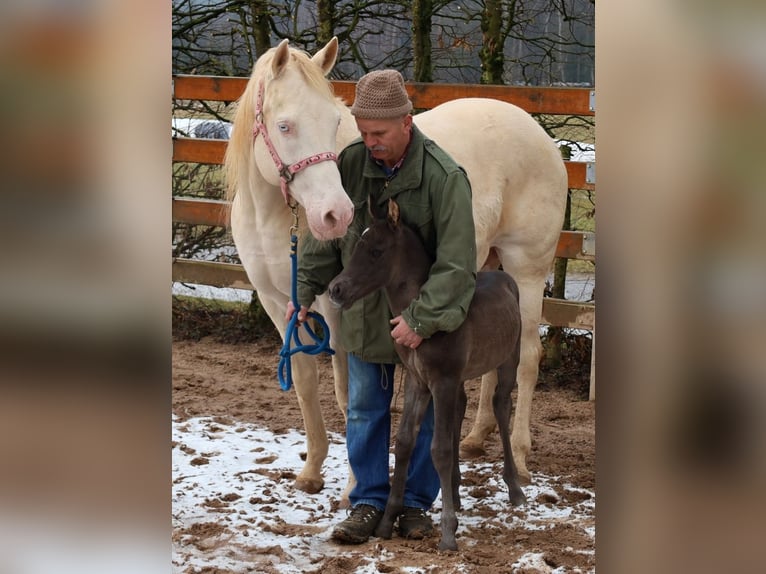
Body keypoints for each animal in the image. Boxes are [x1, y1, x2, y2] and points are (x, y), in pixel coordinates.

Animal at [225, 37, 568, 504]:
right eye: (285, 126)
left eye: (335, 121)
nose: (336, 215)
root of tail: (540, 135)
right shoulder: (282, 306)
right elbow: (304, 383)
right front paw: (312, 471)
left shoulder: (337, 312)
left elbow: (348, 395)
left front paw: (353, 486)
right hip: (491, 266)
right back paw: (475, 438)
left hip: (527, 271)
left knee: (528, 359)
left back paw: (521, 456)